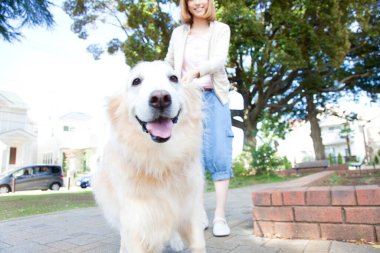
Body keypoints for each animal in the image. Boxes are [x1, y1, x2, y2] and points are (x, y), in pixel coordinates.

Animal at [93, 60, 205, 252]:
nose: (160, 98)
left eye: (173, 78)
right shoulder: (136, 222)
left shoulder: (190, 209)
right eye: (136, 81)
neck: (161, 163)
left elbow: (198, 243)